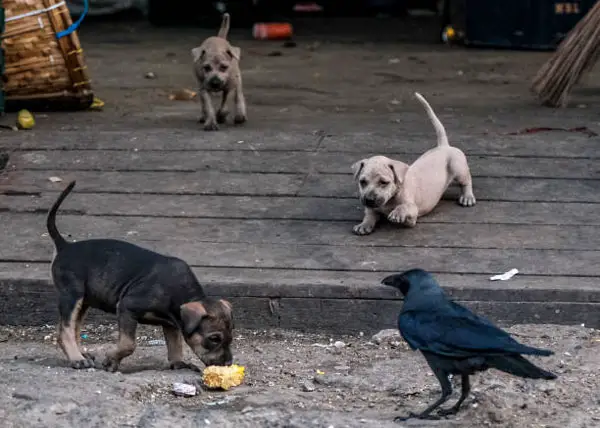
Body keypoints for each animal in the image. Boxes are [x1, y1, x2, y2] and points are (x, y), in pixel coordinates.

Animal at [47, 181, 233, 372]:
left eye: (231, 337)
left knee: (74, 328)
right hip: (72, 295)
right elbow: (128, 344)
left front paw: (179, 363)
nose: (228, 364)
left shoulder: (171, 323)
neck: (178, 292)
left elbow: (175, 344)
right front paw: (111, 360)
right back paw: (77, 358)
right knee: (65, 330)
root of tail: (64, 246)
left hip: (84, 301)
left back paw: (81, 354)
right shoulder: (127, 307)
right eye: (214, 338)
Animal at [354, 91, 476, 236]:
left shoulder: (413, 214)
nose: (369, 200)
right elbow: (369, 215)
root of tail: (444, 146)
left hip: (458, 166)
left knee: (466, 181)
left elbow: (405, 207)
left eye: (384, 182)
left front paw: (397, 212)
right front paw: (364, 224)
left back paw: (467, 197)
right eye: (362, 182)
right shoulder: (372, 208)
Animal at [382, 270, 556, 420]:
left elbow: (447, 392)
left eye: (401, 278)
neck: (423, 296)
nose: (387, 279)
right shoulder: (464, 370)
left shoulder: (436, 361)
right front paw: (452, 409)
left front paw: (418, 415)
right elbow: (465, 390)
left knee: (447, 391)